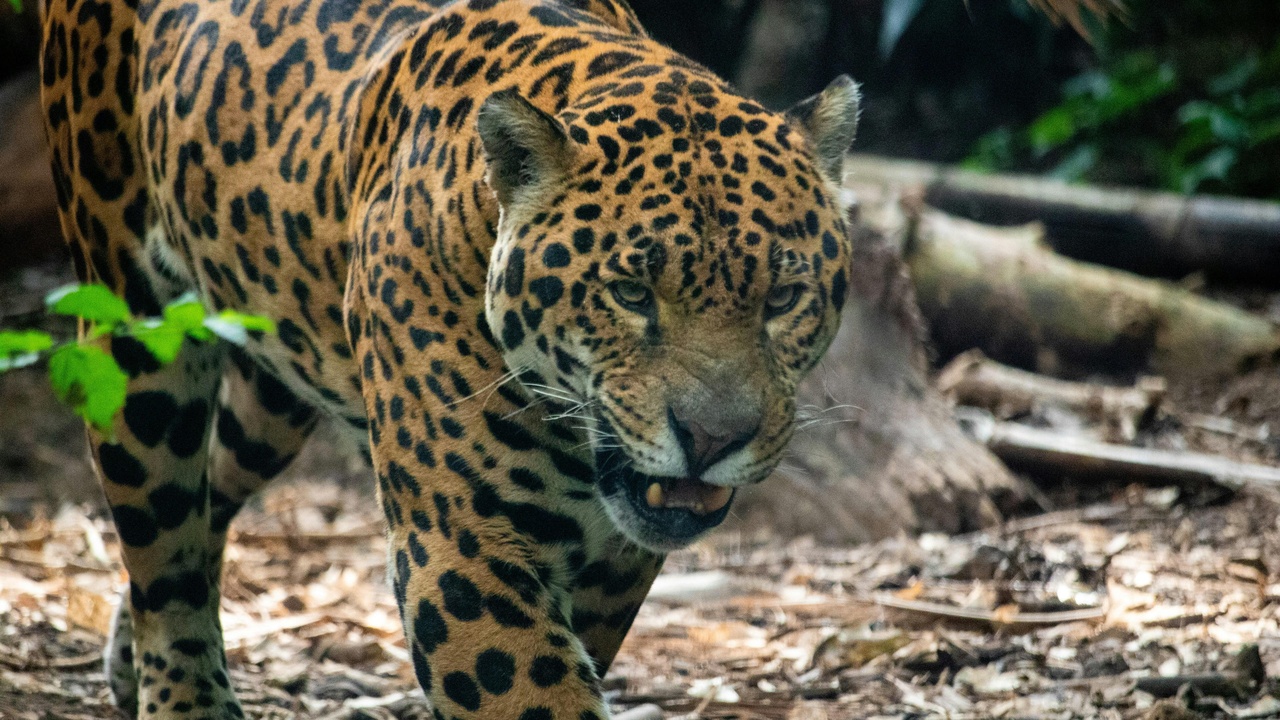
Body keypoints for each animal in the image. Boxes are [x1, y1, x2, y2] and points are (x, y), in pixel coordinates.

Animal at [39, 0, 859, 716]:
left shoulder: (615, 560)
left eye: (784, 298)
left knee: (210, 488)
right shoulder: (465, 542)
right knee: (162, 541)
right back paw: (185, 698)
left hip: (277, 382)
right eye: (630, 291)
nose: (715, 439)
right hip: (133, 334)